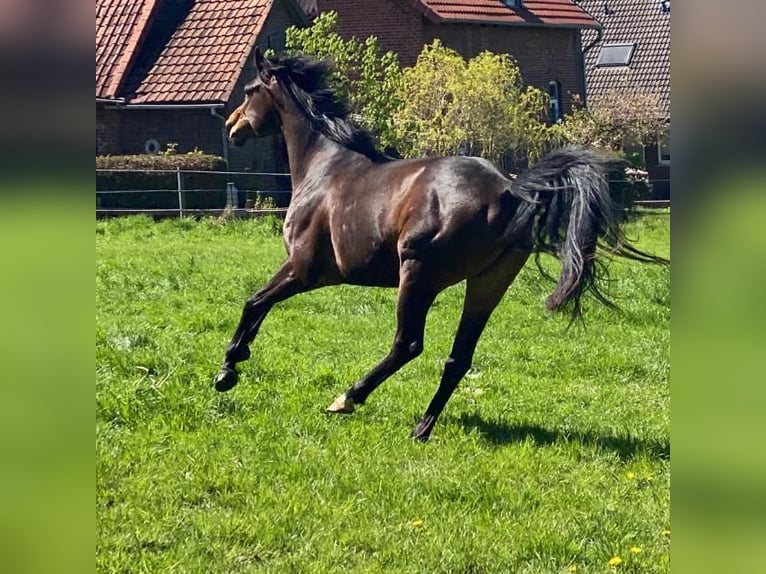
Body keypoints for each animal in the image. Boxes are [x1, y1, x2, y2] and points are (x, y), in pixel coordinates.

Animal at [214, 50, 664, 446]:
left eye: (250, 90)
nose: (231, 125)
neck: (325, 167)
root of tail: (508, 189)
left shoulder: (305, 269)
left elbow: (254, 303)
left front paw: (227, 371)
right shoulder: (309, 273)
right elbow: (258, 306)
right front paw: (235, 364)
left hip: (418, 275)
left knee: (407, 344)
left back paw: (348, 398)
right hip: (488, 284)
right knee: (459, 357)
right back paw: (422, 427)